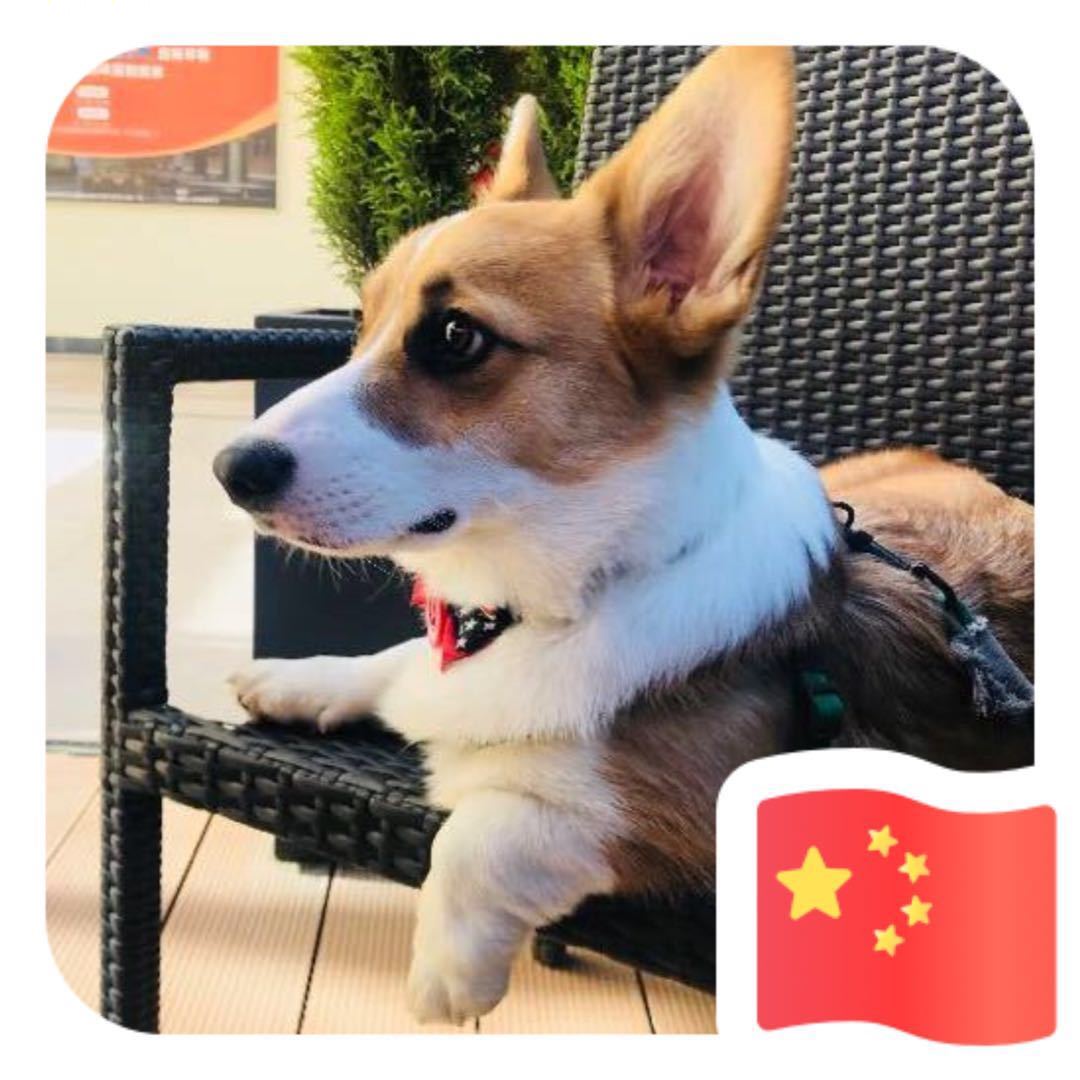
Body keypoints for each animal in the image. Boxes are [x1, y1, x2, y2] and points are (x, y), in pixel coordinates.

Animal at [214, 46, 1034, 1024]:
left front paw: (450, 972)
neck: (574, 592)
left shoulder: (686, 820)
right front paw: (300, 679)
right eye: (360, 322)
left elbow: (487, 832)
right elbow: (392, 662)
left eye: (455, 335)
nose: (228, 469)